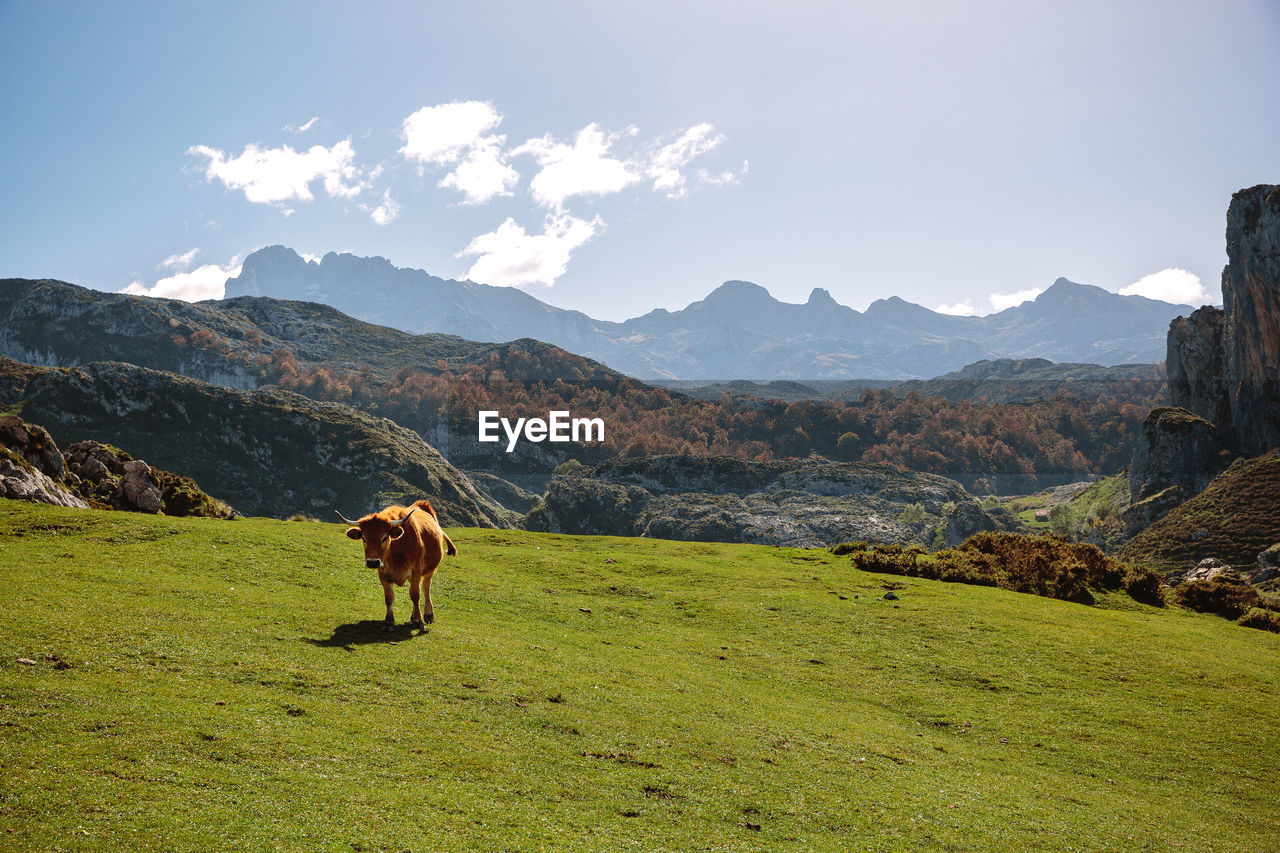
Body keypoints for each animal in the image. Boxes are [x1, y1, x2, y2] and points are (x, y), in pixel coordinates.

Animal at [336, 499, 457, 632]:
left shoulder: (416, 571)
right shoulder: (383, 574)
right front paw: (389, 622)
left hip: (430, 570)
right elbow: (389, 598)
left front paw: (417, 620)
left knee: (426, 588)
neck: (397, 549)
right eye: (364, 538)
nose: (372, 562)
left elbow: (415, 595)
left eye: (384, 537)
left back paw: (428, 614)